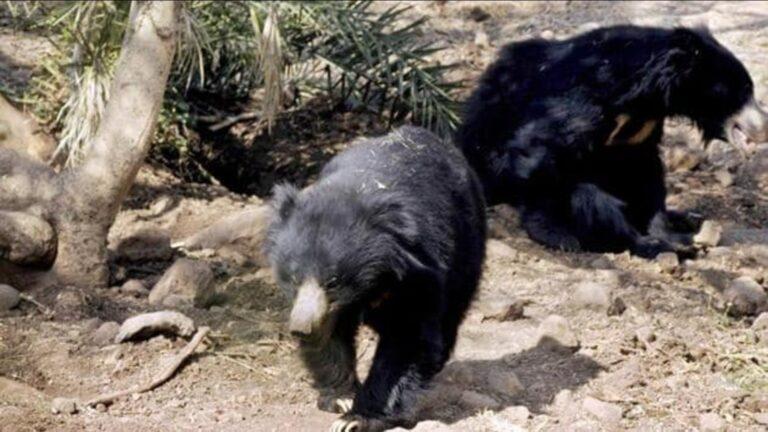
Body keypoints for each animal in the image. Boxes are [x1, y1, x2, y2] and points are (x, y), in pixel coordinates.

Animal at [265, 126, 486, 432]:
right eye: (294, 278)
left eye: (333, 281)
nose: (300, 329)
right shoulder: (326, 309)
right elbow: (330, 335)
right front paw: (341, 398)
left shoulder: (417, 270)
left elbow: (408, 337)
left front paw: (355, 419)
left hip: (467, 247)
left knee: (452, 311)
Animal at [458, 25, 768, 258]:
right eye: (743, 90)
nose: (763, 126)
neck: (647, 95)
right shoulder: (584, 95)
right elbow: (539, 146)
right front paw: (556, 234)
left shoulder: (643, 129)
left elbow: (645, 172)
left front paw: (665, 230)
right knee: (587, 196)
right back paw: (650, 244)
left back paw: (685, 220)